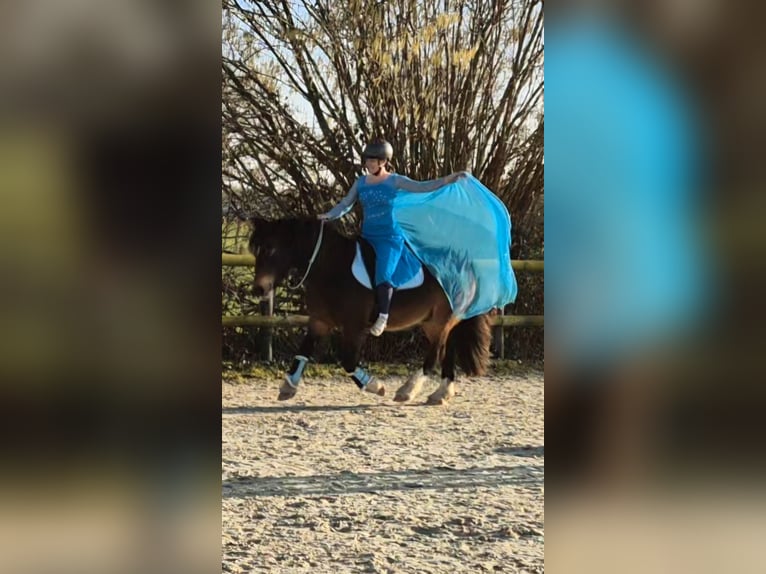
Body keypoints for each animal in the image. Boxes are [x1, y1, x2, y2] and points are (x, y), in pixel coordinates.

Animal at [247, 216, 491, 405]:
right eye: (255, 250)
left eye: (270, 248)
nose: (259, 288)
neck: (331, 267)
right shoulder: (319, 322)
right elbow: (303, 352)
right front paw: (288, 387)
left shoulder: (354, 327)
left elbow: (347, 362)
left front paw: (376, 386)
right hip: (432, 321)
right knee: (447, 349)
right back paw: (441, 393)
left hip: (441, 319)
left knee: (435, 354)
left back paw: (407, 391)